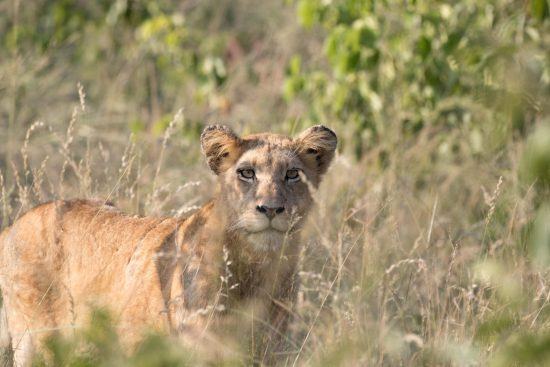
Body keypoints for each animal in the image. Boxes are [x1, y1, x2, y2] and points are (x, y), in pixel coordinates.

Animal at [0, 125, 336, 366]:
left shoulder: (269, 352)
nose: (270, 209)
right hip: (37, 341)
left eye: (292, 174)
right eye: (246, 173)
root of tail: (15, 224)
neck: (256, 267)